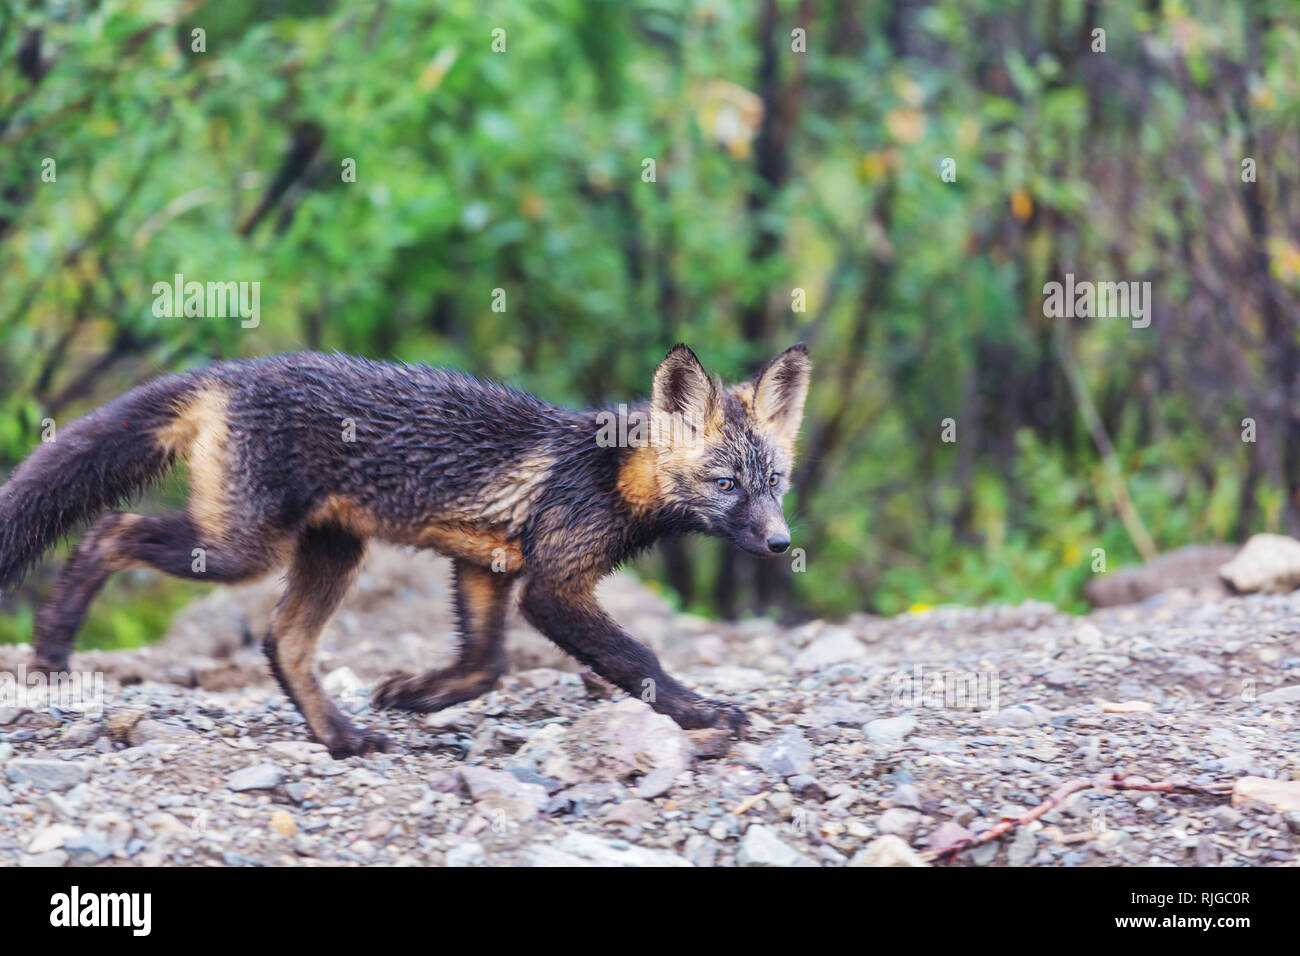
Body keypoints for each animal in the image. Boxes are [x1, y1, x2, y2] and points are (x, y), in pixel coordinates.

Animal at [0, 344, 811, 757]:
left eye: (776, 482)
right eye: (726, 482)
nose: (780, 542)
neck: (608, 472)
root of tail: (232, 369)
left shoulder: (488, 565)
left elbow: (484, 667)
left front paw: (415, 696)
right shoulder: (551, 586)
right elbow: (638, 658)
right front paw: (702, 713)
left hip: (331, 551)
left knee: (282, 643)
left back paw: (343, 736)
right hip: (241, 550)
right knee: (109, 531)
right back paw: (54, 643)